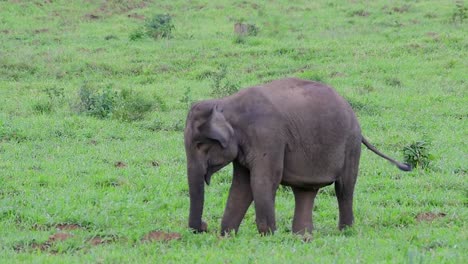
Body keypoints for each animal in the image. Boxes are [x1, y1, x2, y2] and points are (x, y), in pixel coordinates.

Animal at [185, 77, 412, 235]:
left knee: (344, 188)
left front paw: (268, 236)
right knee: (306, 190)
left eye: (200, 145)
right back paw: (303, 236)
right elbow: (241, 186)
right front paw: (227, 235)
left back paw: (345, 232)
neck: (226, 104)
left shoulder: (268, 136)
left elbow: (262, 181)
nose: (204, 226)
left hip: (351, 145)